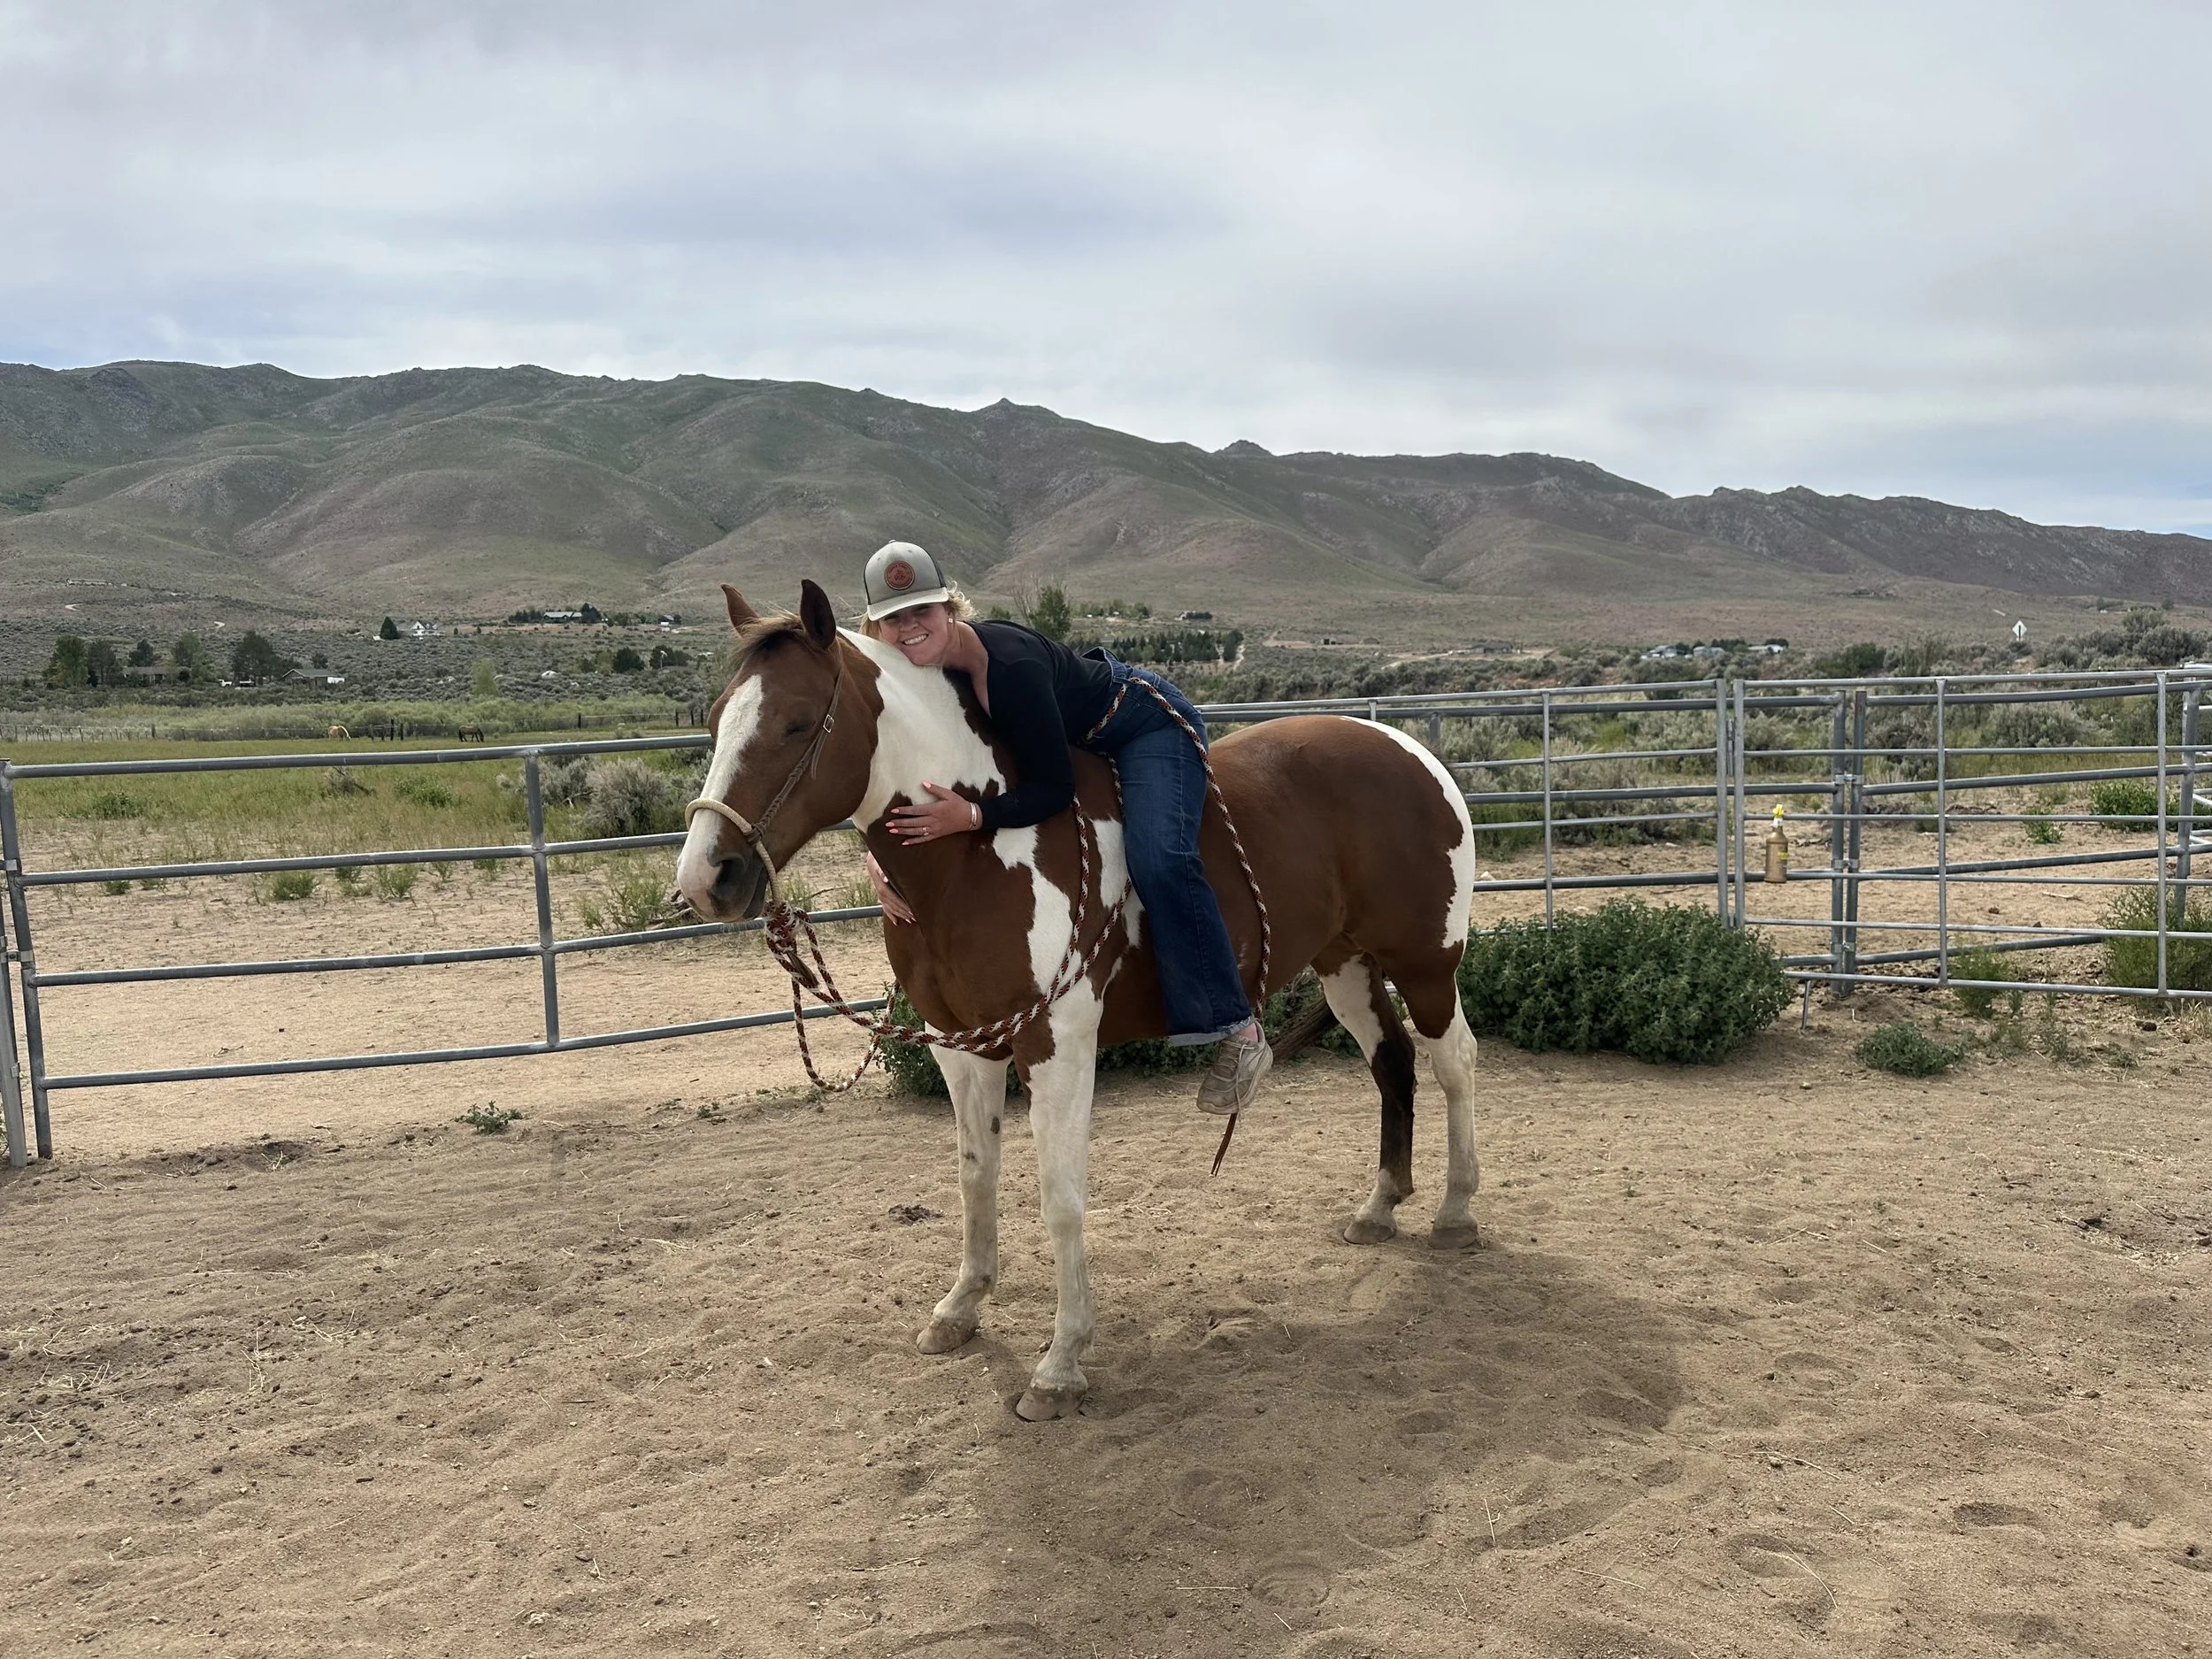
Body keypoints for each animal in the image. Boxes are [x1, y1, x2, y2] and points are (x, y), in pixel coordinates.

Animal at [672, 579, 1482, 1421]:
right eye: (716, 719)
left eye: (797, 722)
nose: (708, 877)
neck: (977, 851)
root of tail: (1416, 754)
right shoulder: (962, 1044)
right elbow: (976, 1175)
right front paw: (960, 1308)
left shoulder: (1055, 1045)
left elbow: (1060, 1195)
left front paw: (1060, 1363)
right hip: (1346, 964)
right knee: (1392, 1063)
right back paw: (1379, 1207)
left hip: (1427, 963)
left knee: (1454, 1062)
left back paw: (1455, 1212)